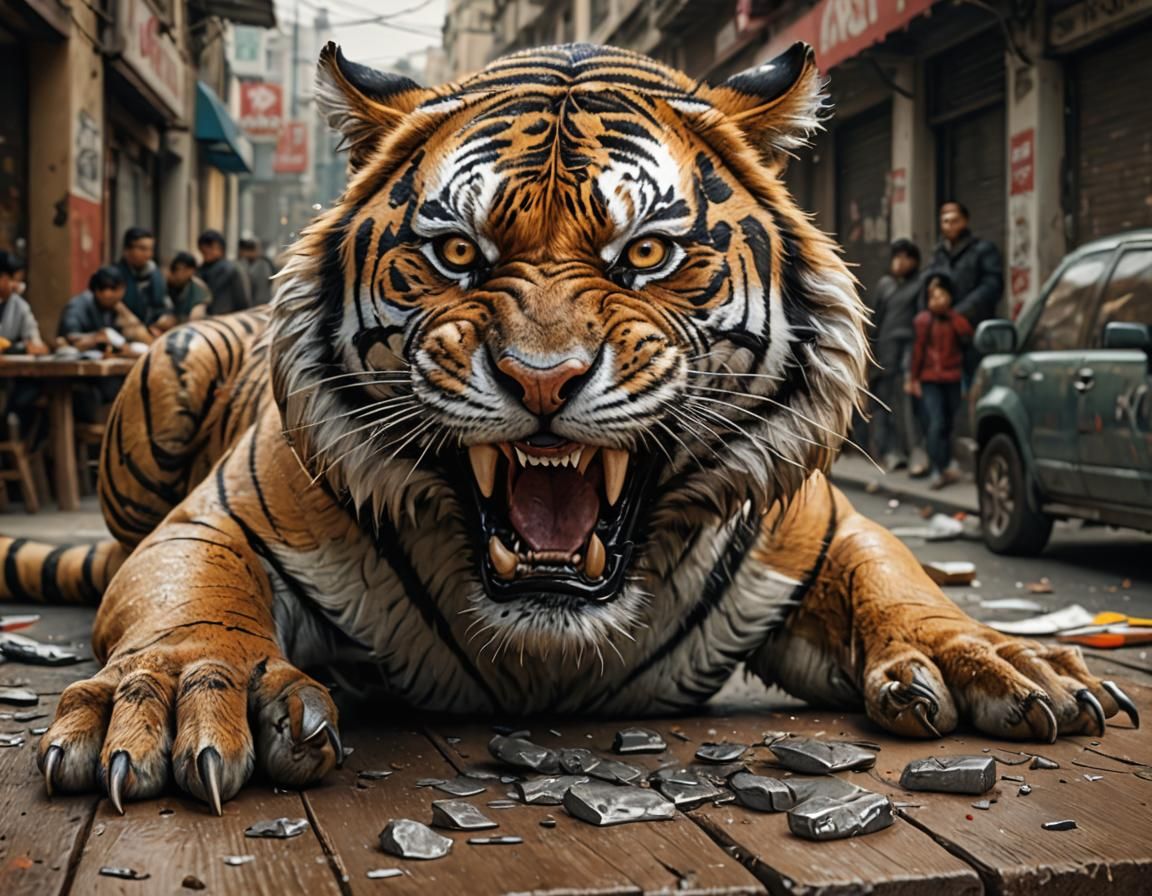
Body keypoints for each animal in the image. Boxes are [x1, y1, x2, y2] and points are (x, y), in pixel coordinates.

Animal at [4, 41, 1135, 815]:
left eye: (646, 253)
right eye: (459, 252)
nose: (541, 379)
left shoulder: (822, 526)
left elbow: (902, 579)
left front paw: (995, 659)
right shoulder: (218, 520)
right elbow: (190, 600)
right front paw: (180, 692)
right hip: (175, 362)